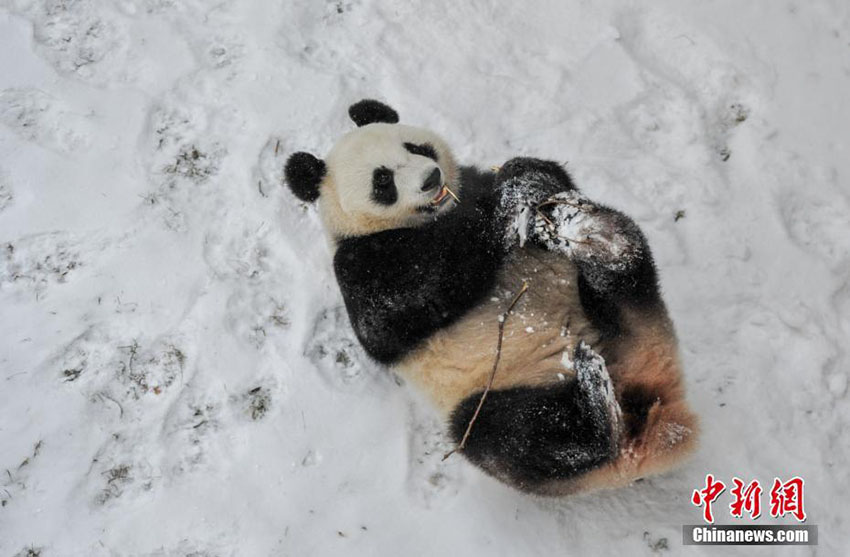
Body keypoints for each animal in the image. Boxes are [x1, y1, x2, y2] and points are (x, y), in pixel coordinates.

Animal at [284, 100, 696, 496]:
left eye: (415, 147)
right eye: (382, 180)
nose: (431, 178)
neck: (438, 217)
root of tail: (651, 432)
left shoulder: (472, 182)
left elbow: (542, 179)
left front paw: (524, 179)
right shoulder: (360, 262)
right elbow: (402, 308)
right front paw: (502, 211)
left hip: (630, 322)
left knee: (626, 267)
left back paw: (599, 240)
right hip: (500, 389)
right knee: (509, 434)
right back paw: (594, 405)